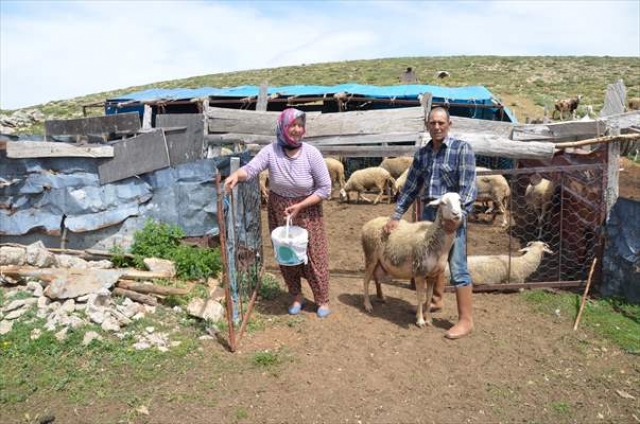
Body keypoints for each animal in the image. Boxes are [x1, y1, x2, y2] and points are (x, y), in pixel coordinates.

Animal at [362, 192, 462, 328]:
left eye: (460, 201)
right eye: (443, 203)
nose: (457, 214)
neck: (432, 237)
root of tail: (368, 224)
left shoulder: (432, 275)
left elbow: (429, 297)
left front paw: (428, 319)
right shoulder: (420, 273)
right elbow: (420, 297)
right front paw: (420, 320)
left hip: (380, 261)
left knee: (376, 277)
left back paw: (381, 297)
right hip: (370, 255)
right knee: (366, 280)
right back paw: (367, 305)